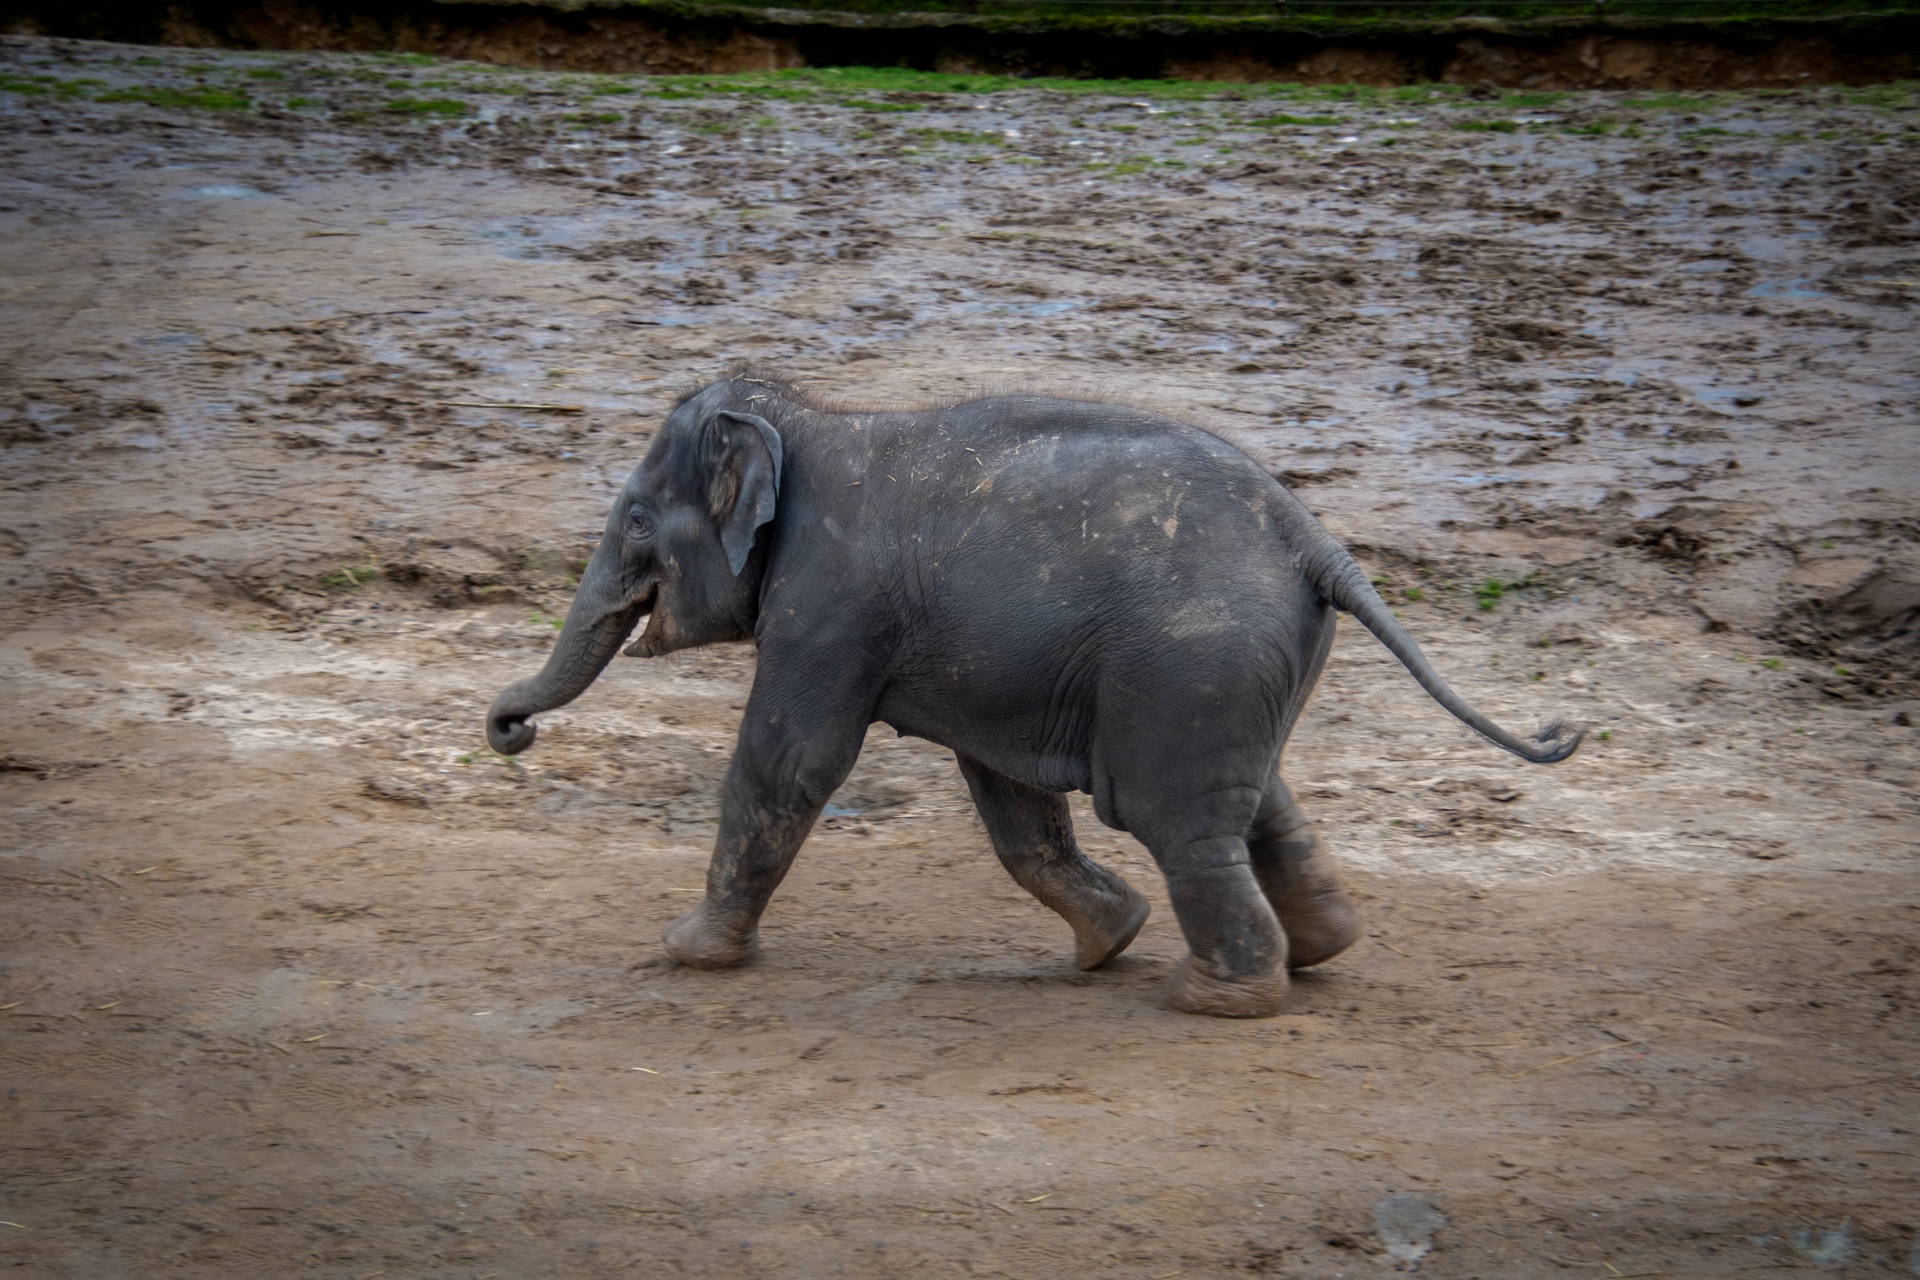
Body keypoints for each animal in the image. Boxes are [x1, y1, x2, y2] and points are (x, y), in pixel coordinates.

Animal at [487, 372, 1582, 1020]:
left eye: (635, 519)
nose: (511, 729)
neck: (806, 413)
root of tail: (1316, 540)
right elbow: (1012, 803)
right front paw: (1109, 940)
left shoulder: (829, 610)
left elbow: (788, 764)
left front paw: (689, 953)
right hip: (1236, 667)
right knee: (1259, 798)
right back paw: (1317, 951)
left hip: (1192, 660)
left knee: (1177, 814)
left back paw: (1217, 996)